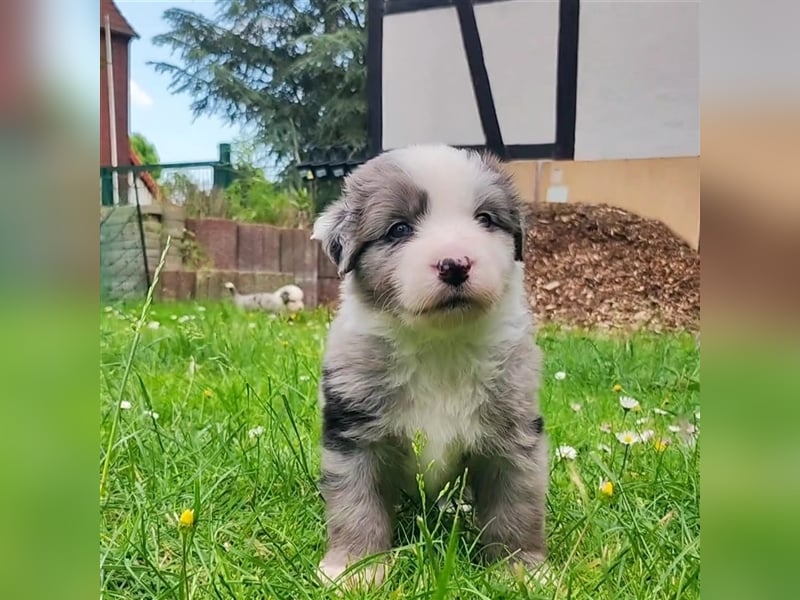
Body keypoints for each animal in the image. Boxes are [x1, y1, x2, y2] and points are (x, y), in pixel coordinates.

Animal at [310, 144, 548, 584]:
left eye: (485, 219)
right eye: (399, 229)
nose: (455, 263)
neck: (441, 344)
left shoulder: (515, 433)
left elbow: (516, 506)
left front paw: (520, 570)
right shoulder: (353, 432)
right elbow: (355, 504)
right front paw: (355, 568)